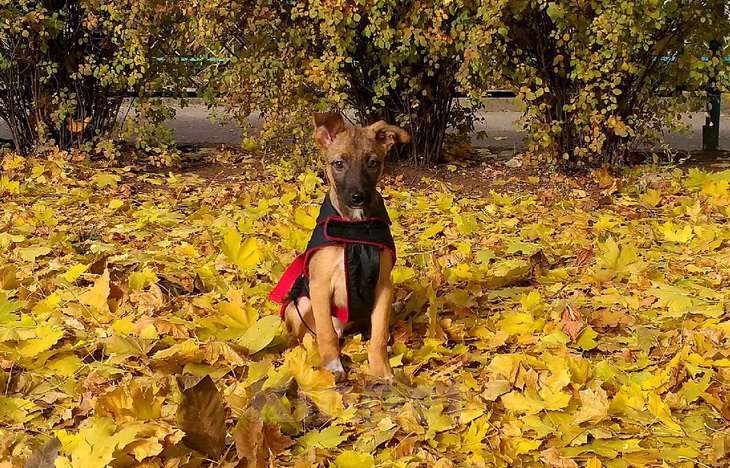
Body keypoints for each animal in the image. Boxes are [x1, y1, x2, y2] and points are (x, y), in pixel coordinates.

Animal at [280, 113, 406, 380]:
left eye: (373, 163)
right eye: (338, 163)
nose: (358, 197)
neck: (355, 231)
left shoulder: (383, 285)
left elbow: (378, 336)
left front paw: (381, 369)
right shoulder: (319, 285)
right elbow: (325, 333)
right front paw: (331, 366)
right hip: (299, 305)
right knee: (311, 335)